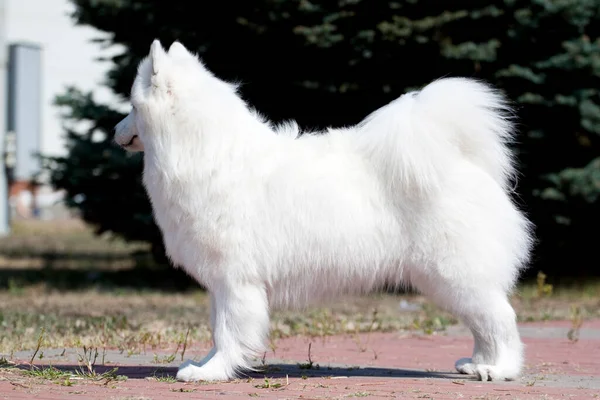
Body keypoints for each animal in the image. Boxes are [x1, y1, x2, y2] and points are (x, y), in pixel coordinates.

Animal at [113, 39, 536, 382]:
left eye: (132, 107)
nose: (115, 131)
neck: (205, 151)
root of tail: (463, 161)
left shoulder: (235, 280)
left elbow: (229, 331)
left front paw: (213, 372)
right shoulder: (221, 283)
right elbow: (218, 330)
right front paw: (207, 365)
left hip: (454, 275)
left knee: (501, 318)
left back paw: (499, 369)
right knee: (484, 324)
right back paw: (477, 363)